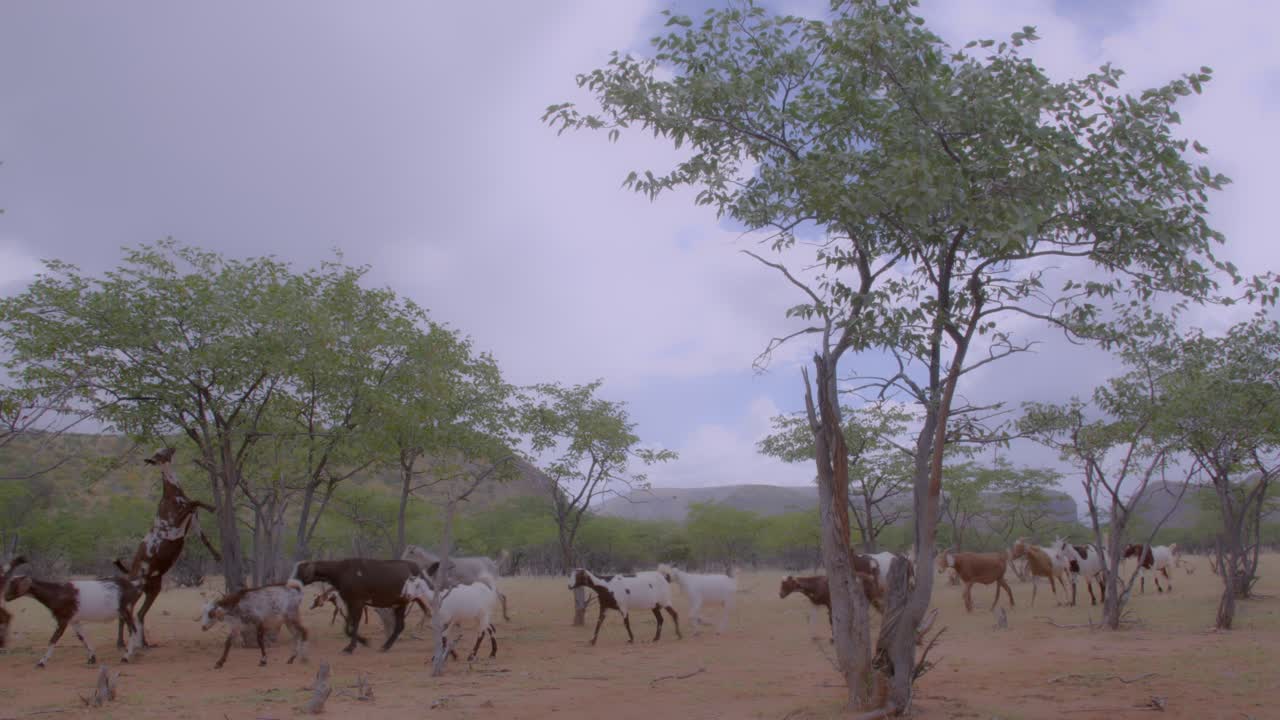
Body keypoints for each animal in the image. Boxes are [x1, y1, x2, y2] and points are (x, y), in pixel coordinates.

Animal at [4, 573, 143, 668]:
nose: (5, 597)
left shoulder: (63, 620)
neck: (57, 592)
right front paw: (92, 658)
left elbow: (53, 639)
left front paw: (41, 662)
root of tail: (133, 585)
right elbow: (82, 637)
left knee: (134, 630)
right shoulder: (74, 620)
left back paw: (126, 656)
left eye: (14, 584)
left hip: (125, 610)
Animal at [113, 447, 221, 649]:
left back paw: (145, 643)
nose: (171, 447)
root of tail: (131, 570)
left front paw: (218, 556)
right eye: (158, 454)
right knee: (126, 612)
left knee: (139, 614)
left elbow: (204, 537)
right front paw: (212, 507)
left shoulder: (191, 521)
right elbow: (195, 501)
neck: (172, 494)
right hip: (137, 588)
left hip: (153, 589)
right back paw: (120, 643)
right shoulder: (174, 527)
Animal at [290, 558, 419, 653]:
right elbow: (348, 627)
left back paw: (386, 646)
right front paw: (364, 641)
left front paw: (350, 647)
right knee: (400, 626)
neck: (341, 571)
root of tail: (414, 566)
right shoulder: (349, 603)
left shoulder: (358, 602)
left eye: (300, 572)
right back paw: (386, 646)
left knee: (400, 625)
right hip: (400, 604)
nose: (290, 583)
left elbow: (355, 624)